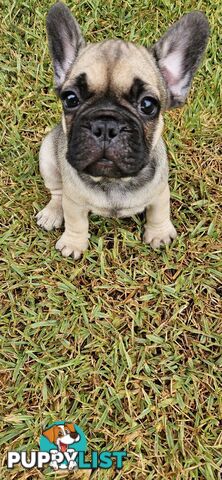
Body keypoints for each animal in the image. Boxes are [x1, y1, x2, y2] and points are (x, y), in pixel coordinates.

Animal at [36, 2, 208, 258]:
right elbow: (76, 221)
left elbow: (159, 212)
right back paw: (52, 213)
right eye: (70, 99)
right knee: (57, 191)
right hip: (47, 158)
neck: (114, 181)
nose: (105, 125)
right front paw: (74, 243)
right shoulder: (73, 201)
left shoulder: (160, 192)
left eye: (148, 105)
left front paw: (159, 234)